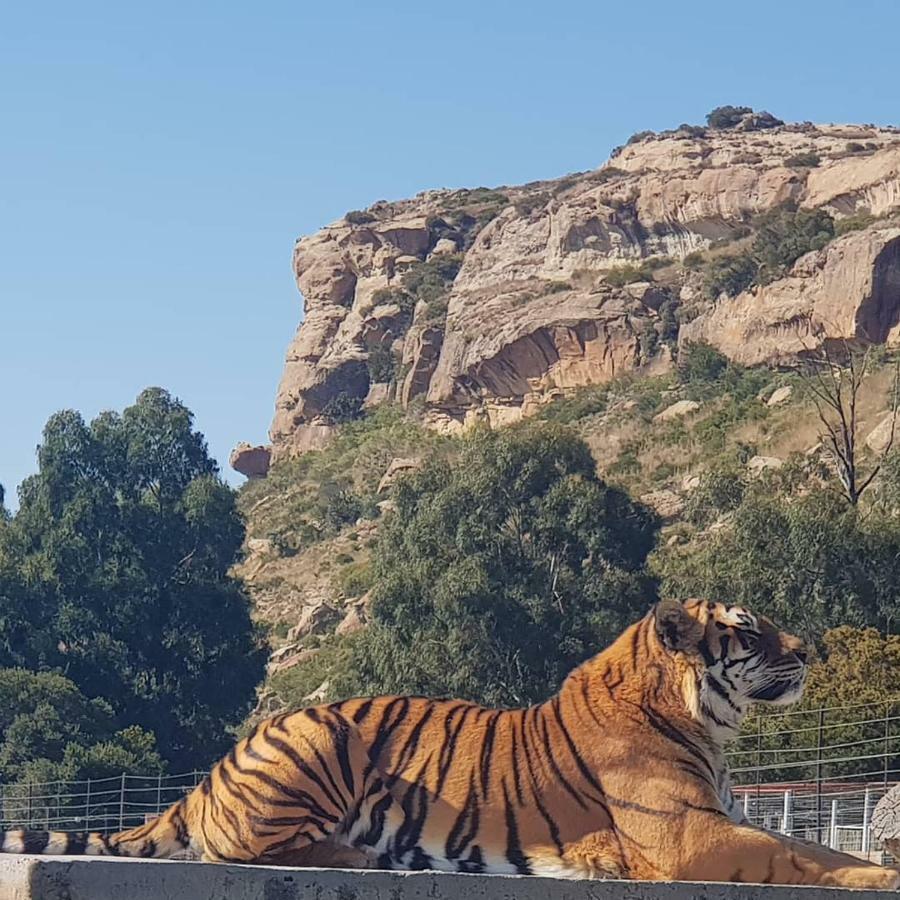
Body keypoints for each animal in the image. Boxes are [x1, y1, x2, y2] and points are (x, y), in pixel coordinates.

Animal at [1, 596, 900, 884]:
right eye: (750, 630)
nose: (811, 651)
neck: (707, 725)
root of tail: (208, 775)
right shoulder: (688, 834)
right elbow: (801, 858)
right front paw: (876, 879)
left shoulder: (721, 819)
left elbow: (817, 845)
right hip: (322, 733)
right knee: (243, 848)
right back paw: (367, 857)